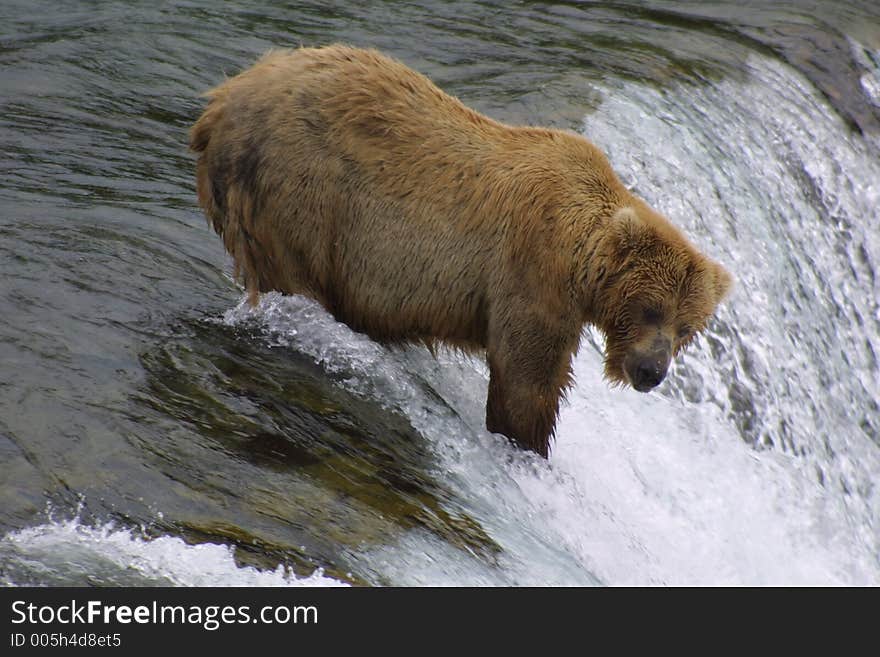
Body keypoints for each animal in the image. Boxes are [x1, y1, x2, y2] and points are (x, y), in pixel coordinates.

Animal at [189, 44, 732, 456]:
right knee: (295, 274)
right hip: (299, 191)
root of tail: (222, 99)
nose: (651, 372)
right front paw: (527, 443)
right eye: (650, 308)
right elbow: (527, 376)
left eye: (687, 329)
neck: (582, 264)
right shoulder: (533, 268)